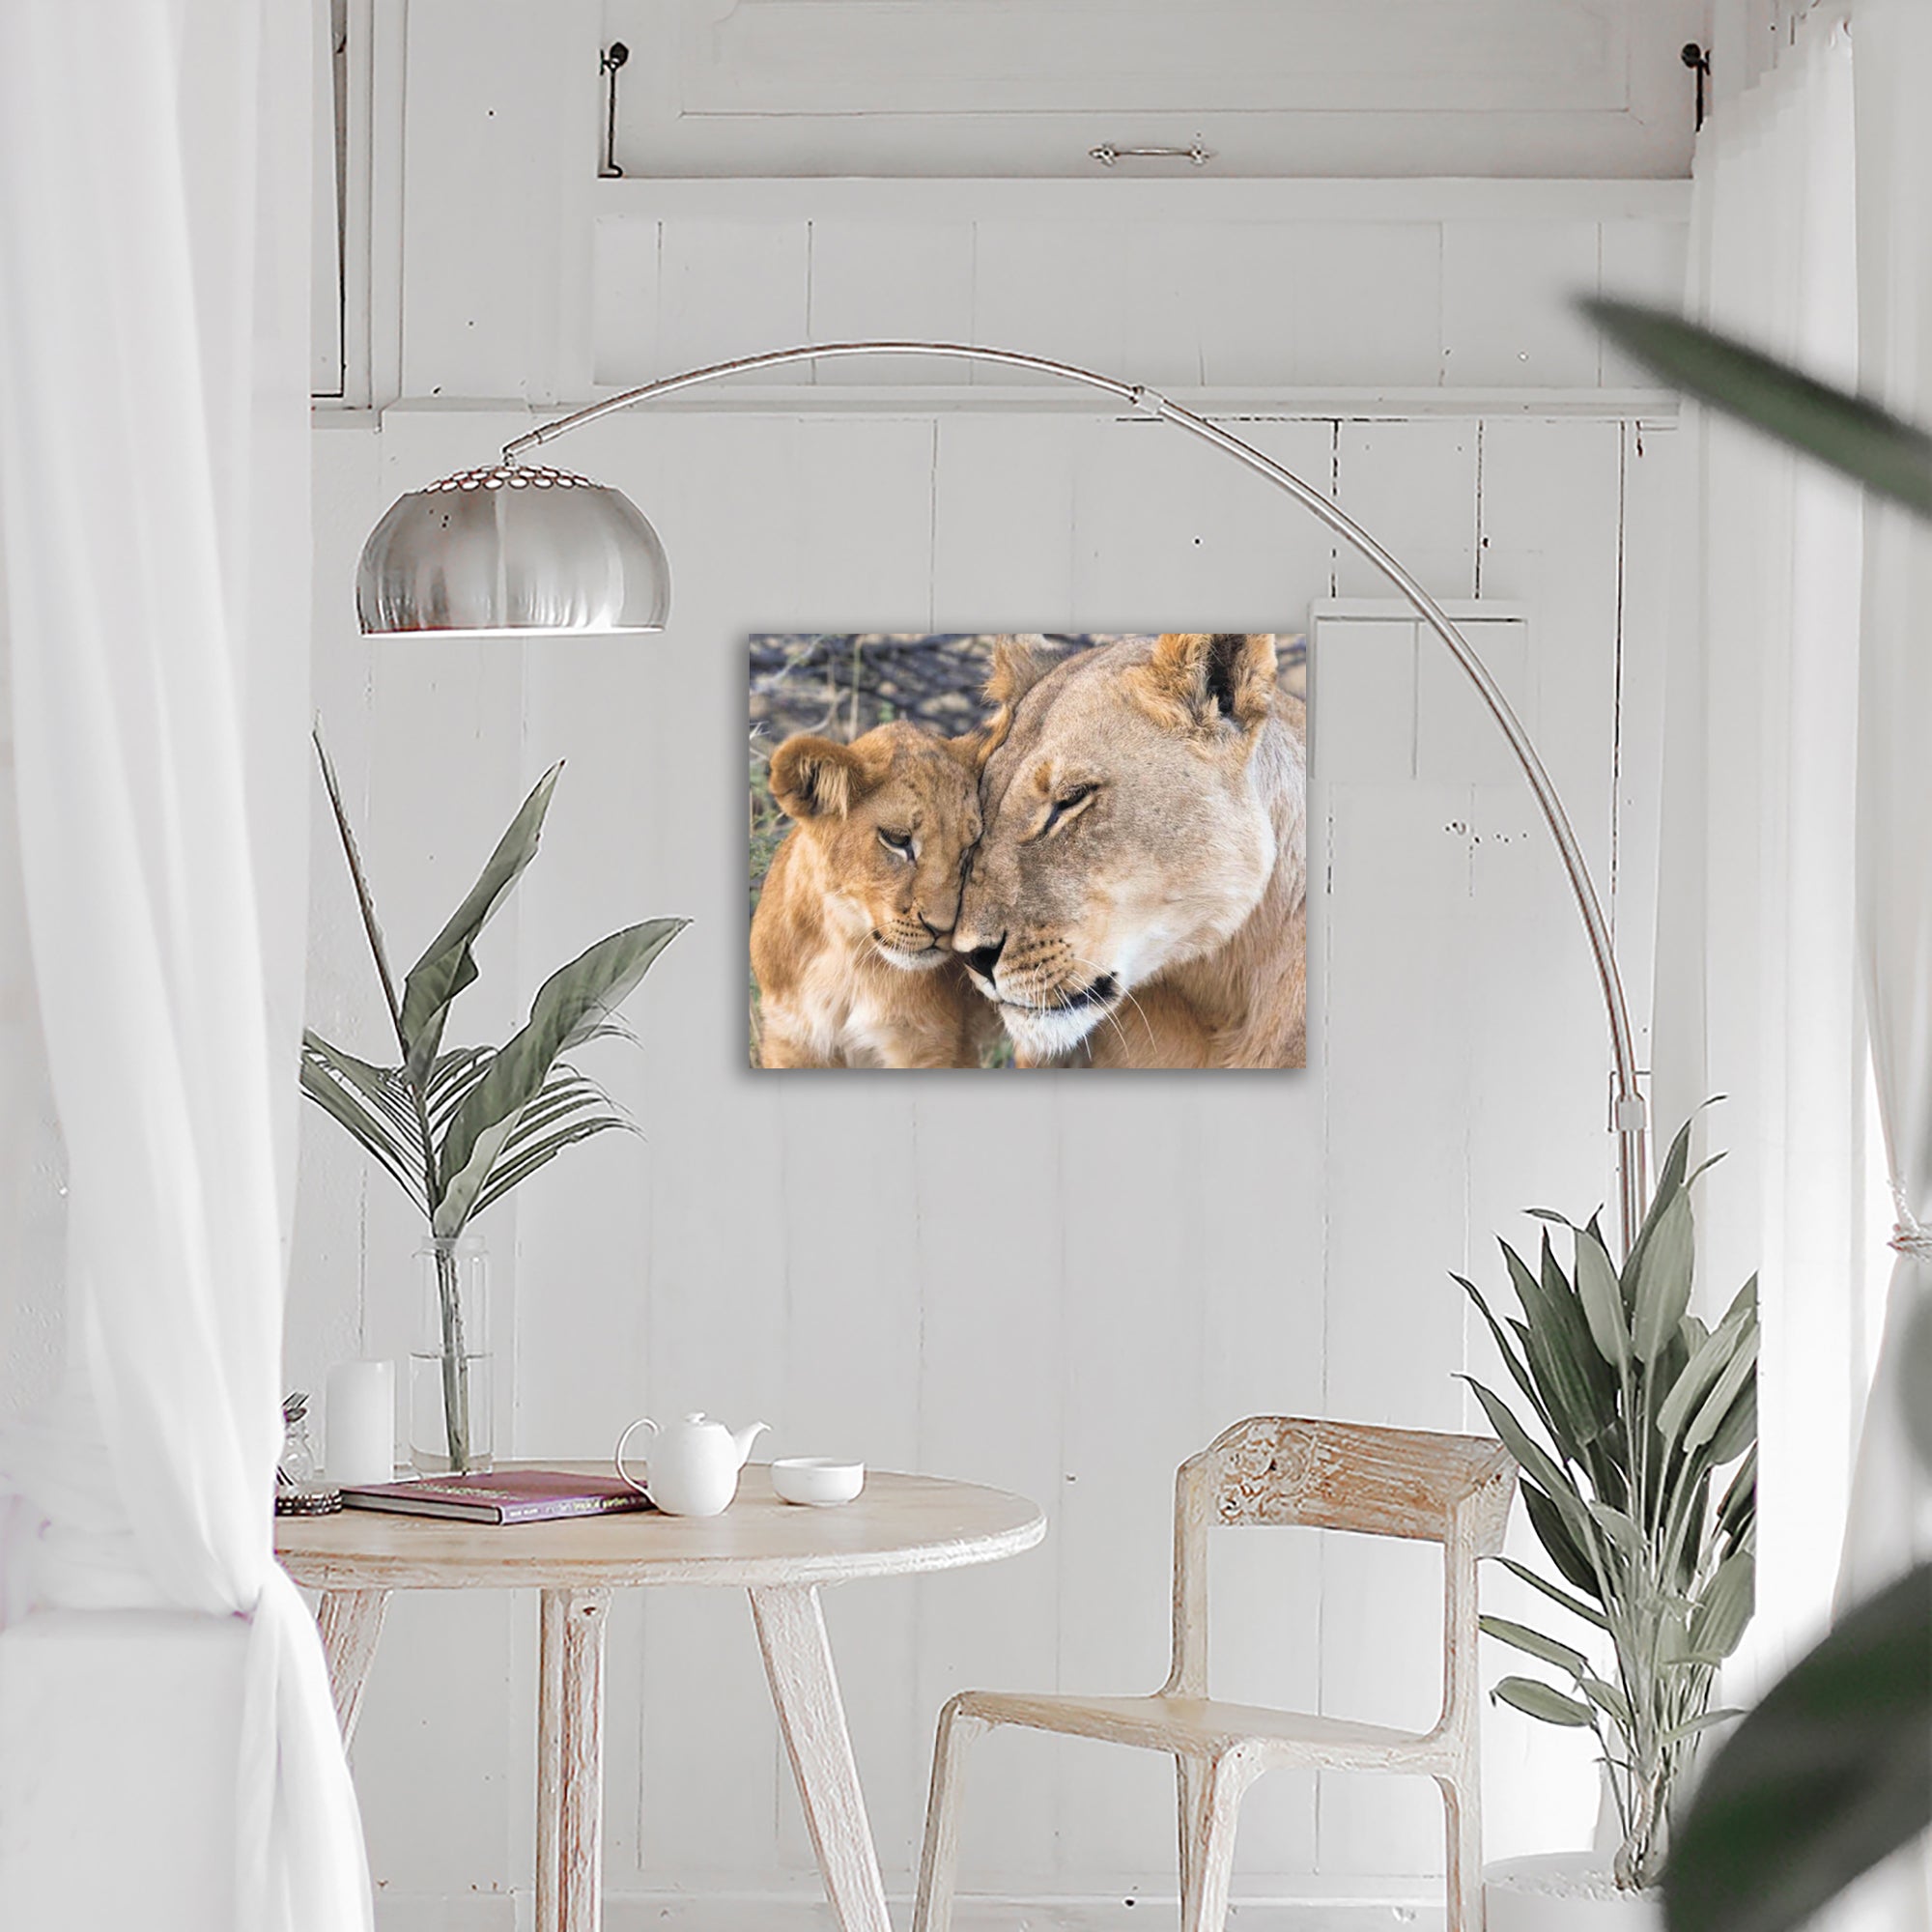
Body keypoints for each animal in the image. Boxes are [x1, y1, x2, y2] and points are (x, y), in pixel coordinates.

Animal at [752, 720, 994, 1068]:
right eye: (897, 839)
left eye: (970, 847)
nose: (944, 930)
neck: (847, 956)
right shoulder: (788, 1039)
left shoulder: (935, 1047)